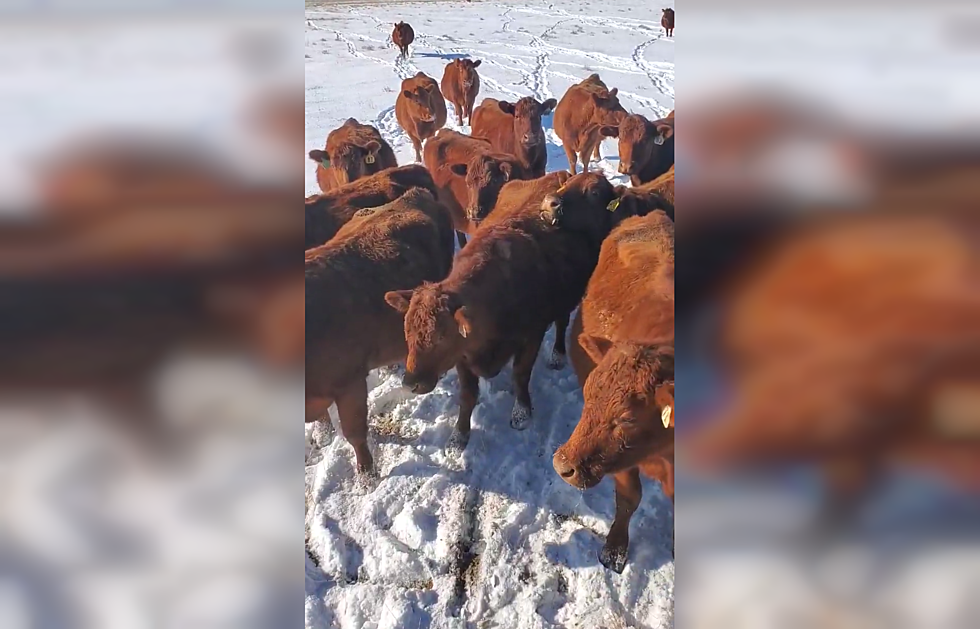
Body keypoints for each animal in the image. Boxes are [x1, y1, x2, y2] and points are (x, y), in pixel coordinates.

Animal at [384, 170, 628, 452]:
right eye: (407, 331)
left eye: (442, 336)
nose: (410, 383)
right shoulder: (463, 356)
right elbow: (467, 395)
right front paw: (459, 435)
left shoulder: (530, 337)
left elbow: (520, 375)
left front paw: (521, 412)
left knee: (561, 322)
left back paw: (557, 354)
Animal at [556, 210, 676, 568]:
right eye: (587, 397)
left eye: (627, 418)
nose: (562, 465)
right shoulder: (621, 466)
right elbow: (629, 499)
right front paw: (614, 549)